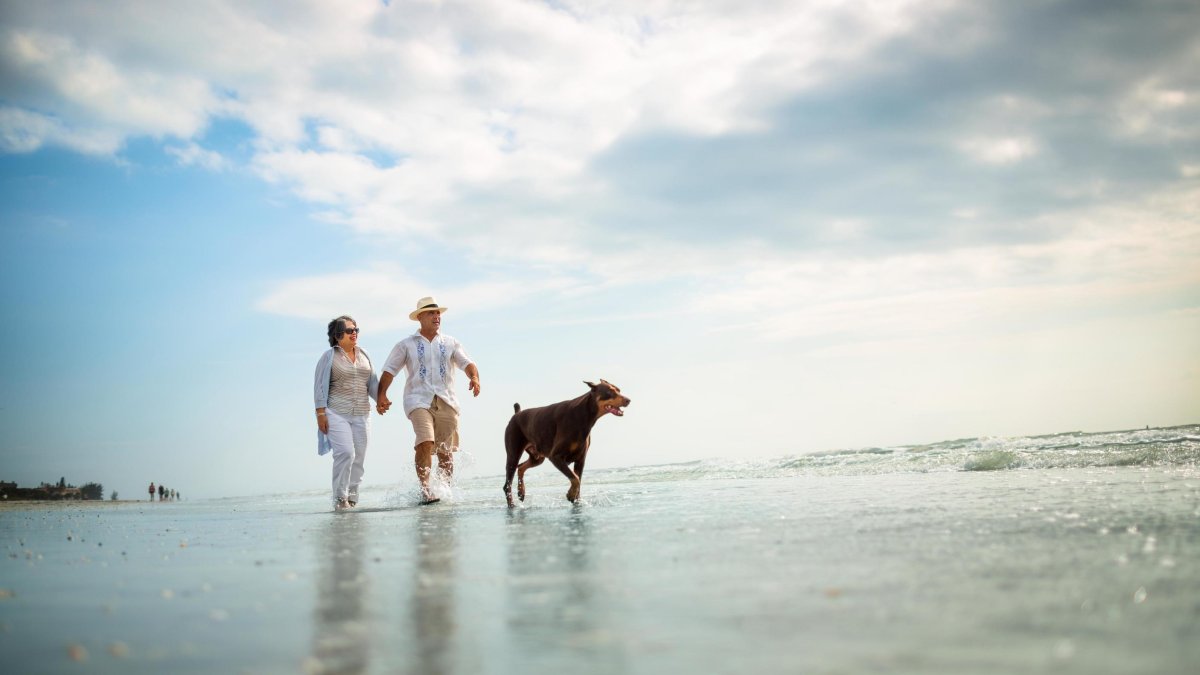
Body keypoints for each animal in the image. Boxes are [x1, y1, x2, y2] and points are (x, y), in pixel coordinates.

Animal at [501, 379, 633, 504]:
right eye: (610, 391)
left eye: (619, 390)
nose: (629, 400)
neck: (583, 415)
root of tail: (517, 414)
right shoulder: (555, 456)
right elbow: (575, 479)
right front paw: (570, 494)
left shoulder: (580, 459)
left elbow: (578, 480)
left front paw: (575, 498)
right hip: (513, 453)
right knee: (507, 484)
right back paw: (512, 504)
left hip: (537, 457)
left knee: (521, 467)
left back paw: (521, 492)